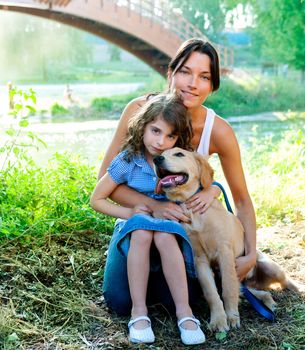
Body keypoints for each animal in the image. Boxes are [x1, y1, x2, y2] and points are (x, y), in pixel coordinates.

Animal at [153, 147, 302, 330]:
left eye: (179, 154)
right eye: (161, 153)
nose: (156, 159)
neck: (190, 209)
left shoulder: (225, 252)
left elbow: (228, 289)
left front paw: (231, 317)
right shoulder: (199, 259)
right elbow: (211, 292)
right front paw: (218, 319)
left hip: (270, 267)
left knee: (286, 280)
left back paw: (297, 289)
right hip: (244, 286)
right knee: (261, 292)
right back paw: (269, 303)